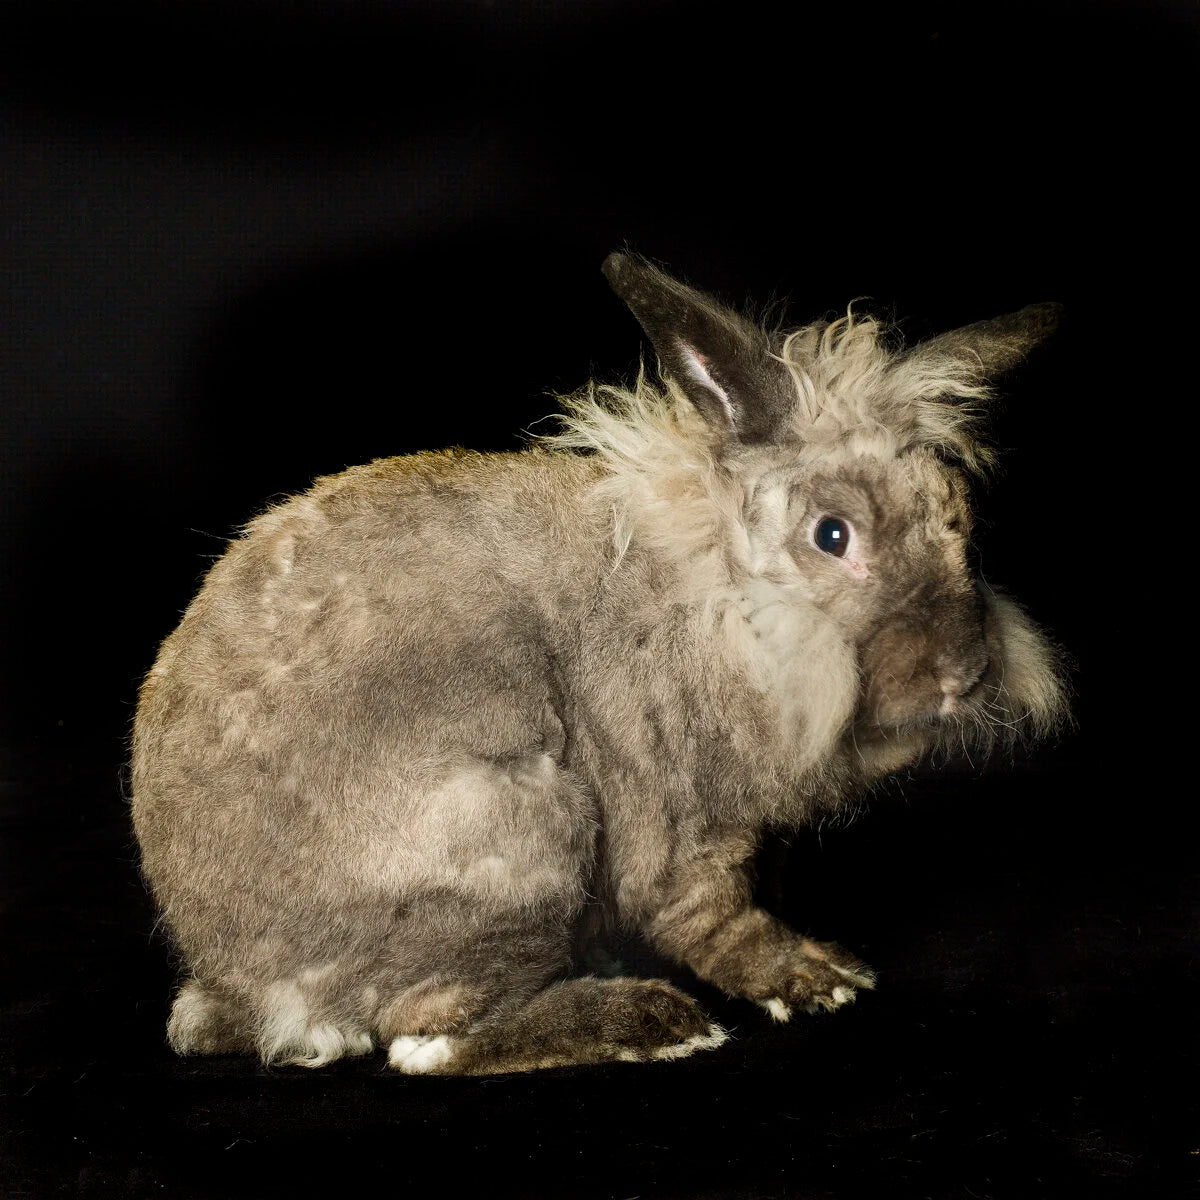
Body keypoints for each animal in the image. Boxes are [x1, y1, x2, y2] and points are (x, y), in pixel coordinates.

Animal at [131, 252, 1068, 1075]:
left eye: (960, 522)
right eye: (832, 535)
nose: (965, 671)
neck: (719, 599)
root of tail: (247, 992)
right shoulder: (690, 828)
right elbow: (716, 920)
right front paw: (816, 979)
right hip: (522, 827)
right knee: (426, 1041)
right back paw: (651, 1021)